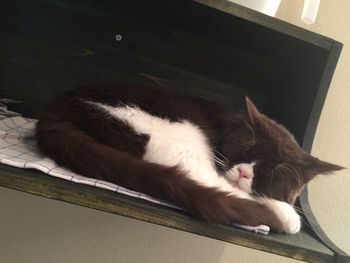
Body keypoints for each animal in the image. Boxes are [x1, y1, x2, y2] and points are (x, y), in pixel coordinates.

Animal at [35, 83, 342, 234]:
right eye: (245, 151)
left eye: (271, 173)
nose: (245, 173)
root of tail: (56, 110)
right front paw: (288, 213)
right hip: (174, 130)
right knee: (207, 182)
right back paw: (284, 214)